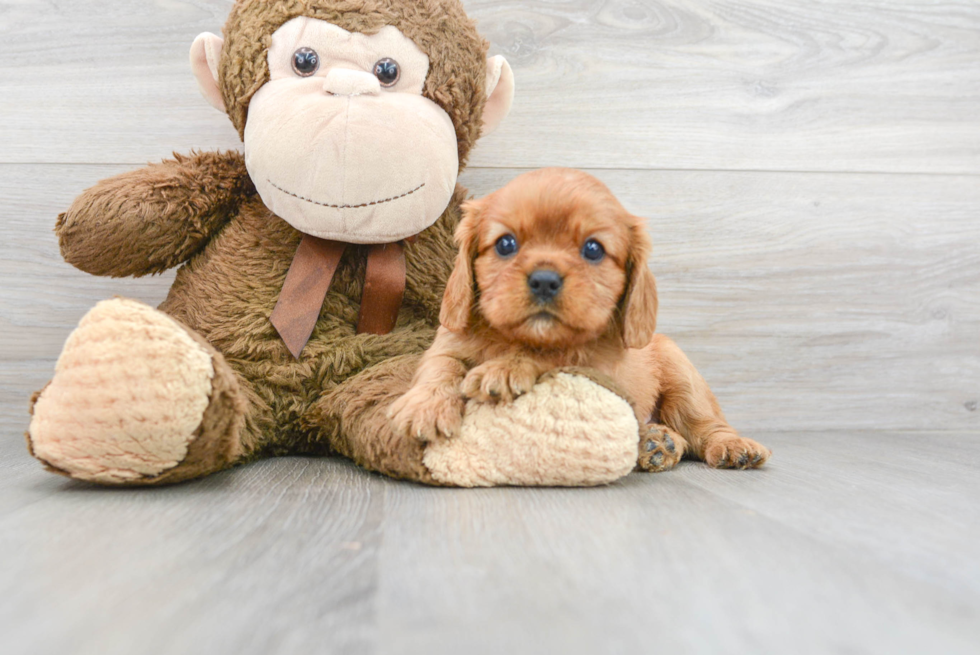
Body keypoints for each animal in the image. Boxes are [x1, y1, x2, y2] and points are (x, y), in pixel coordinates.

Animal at [386, 167, 768, 468]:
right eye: (506, 244)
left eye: (593, 249)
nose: (544, 280)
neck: (517, 337)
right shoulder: (447, 343)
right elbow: (441, 368)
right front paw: (426, 407)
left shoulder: (595, 364)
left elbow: (555, 354)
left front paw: (505, 369)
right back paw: (656, 441)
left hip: (683, 376)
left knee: (704, 426)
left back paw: (729, 446)